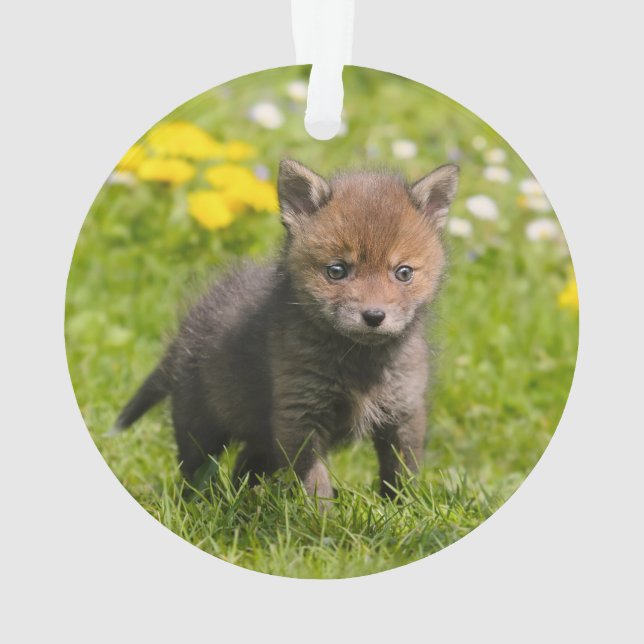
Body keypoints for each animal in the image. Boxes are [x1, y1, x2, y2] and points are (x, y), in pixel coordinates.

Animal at [111, 159, 459, 502]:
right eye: (337, 271)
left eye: (403, 273)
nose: (374, 316)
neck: (359, 364)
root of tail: (186, 329)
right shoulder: (299, 414)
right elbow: (315, 482)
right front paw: (322, 517)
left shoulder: (403, 410)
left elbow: (401, 472)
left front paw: (403, 509)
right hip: (201, 428)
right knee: (195, 472)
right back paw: (201, 503)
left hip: (260, 439)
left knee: (244, 467)